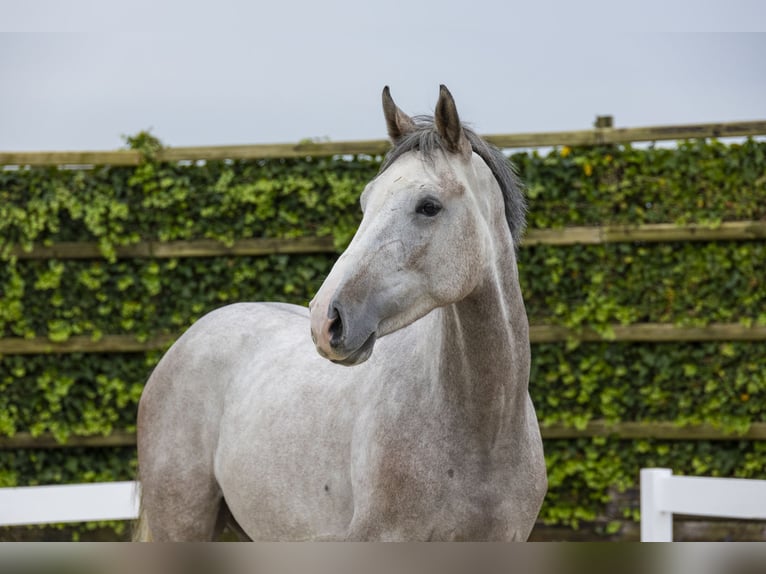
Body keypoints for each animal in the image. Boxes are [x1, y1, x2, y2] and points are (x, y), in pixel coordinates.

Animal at [136, 86, 544, 544]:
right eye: (366, 202)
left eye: (429, 206)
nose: (325, 320)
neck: (485, 428)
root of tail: (186, 342)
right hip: (182, 524)